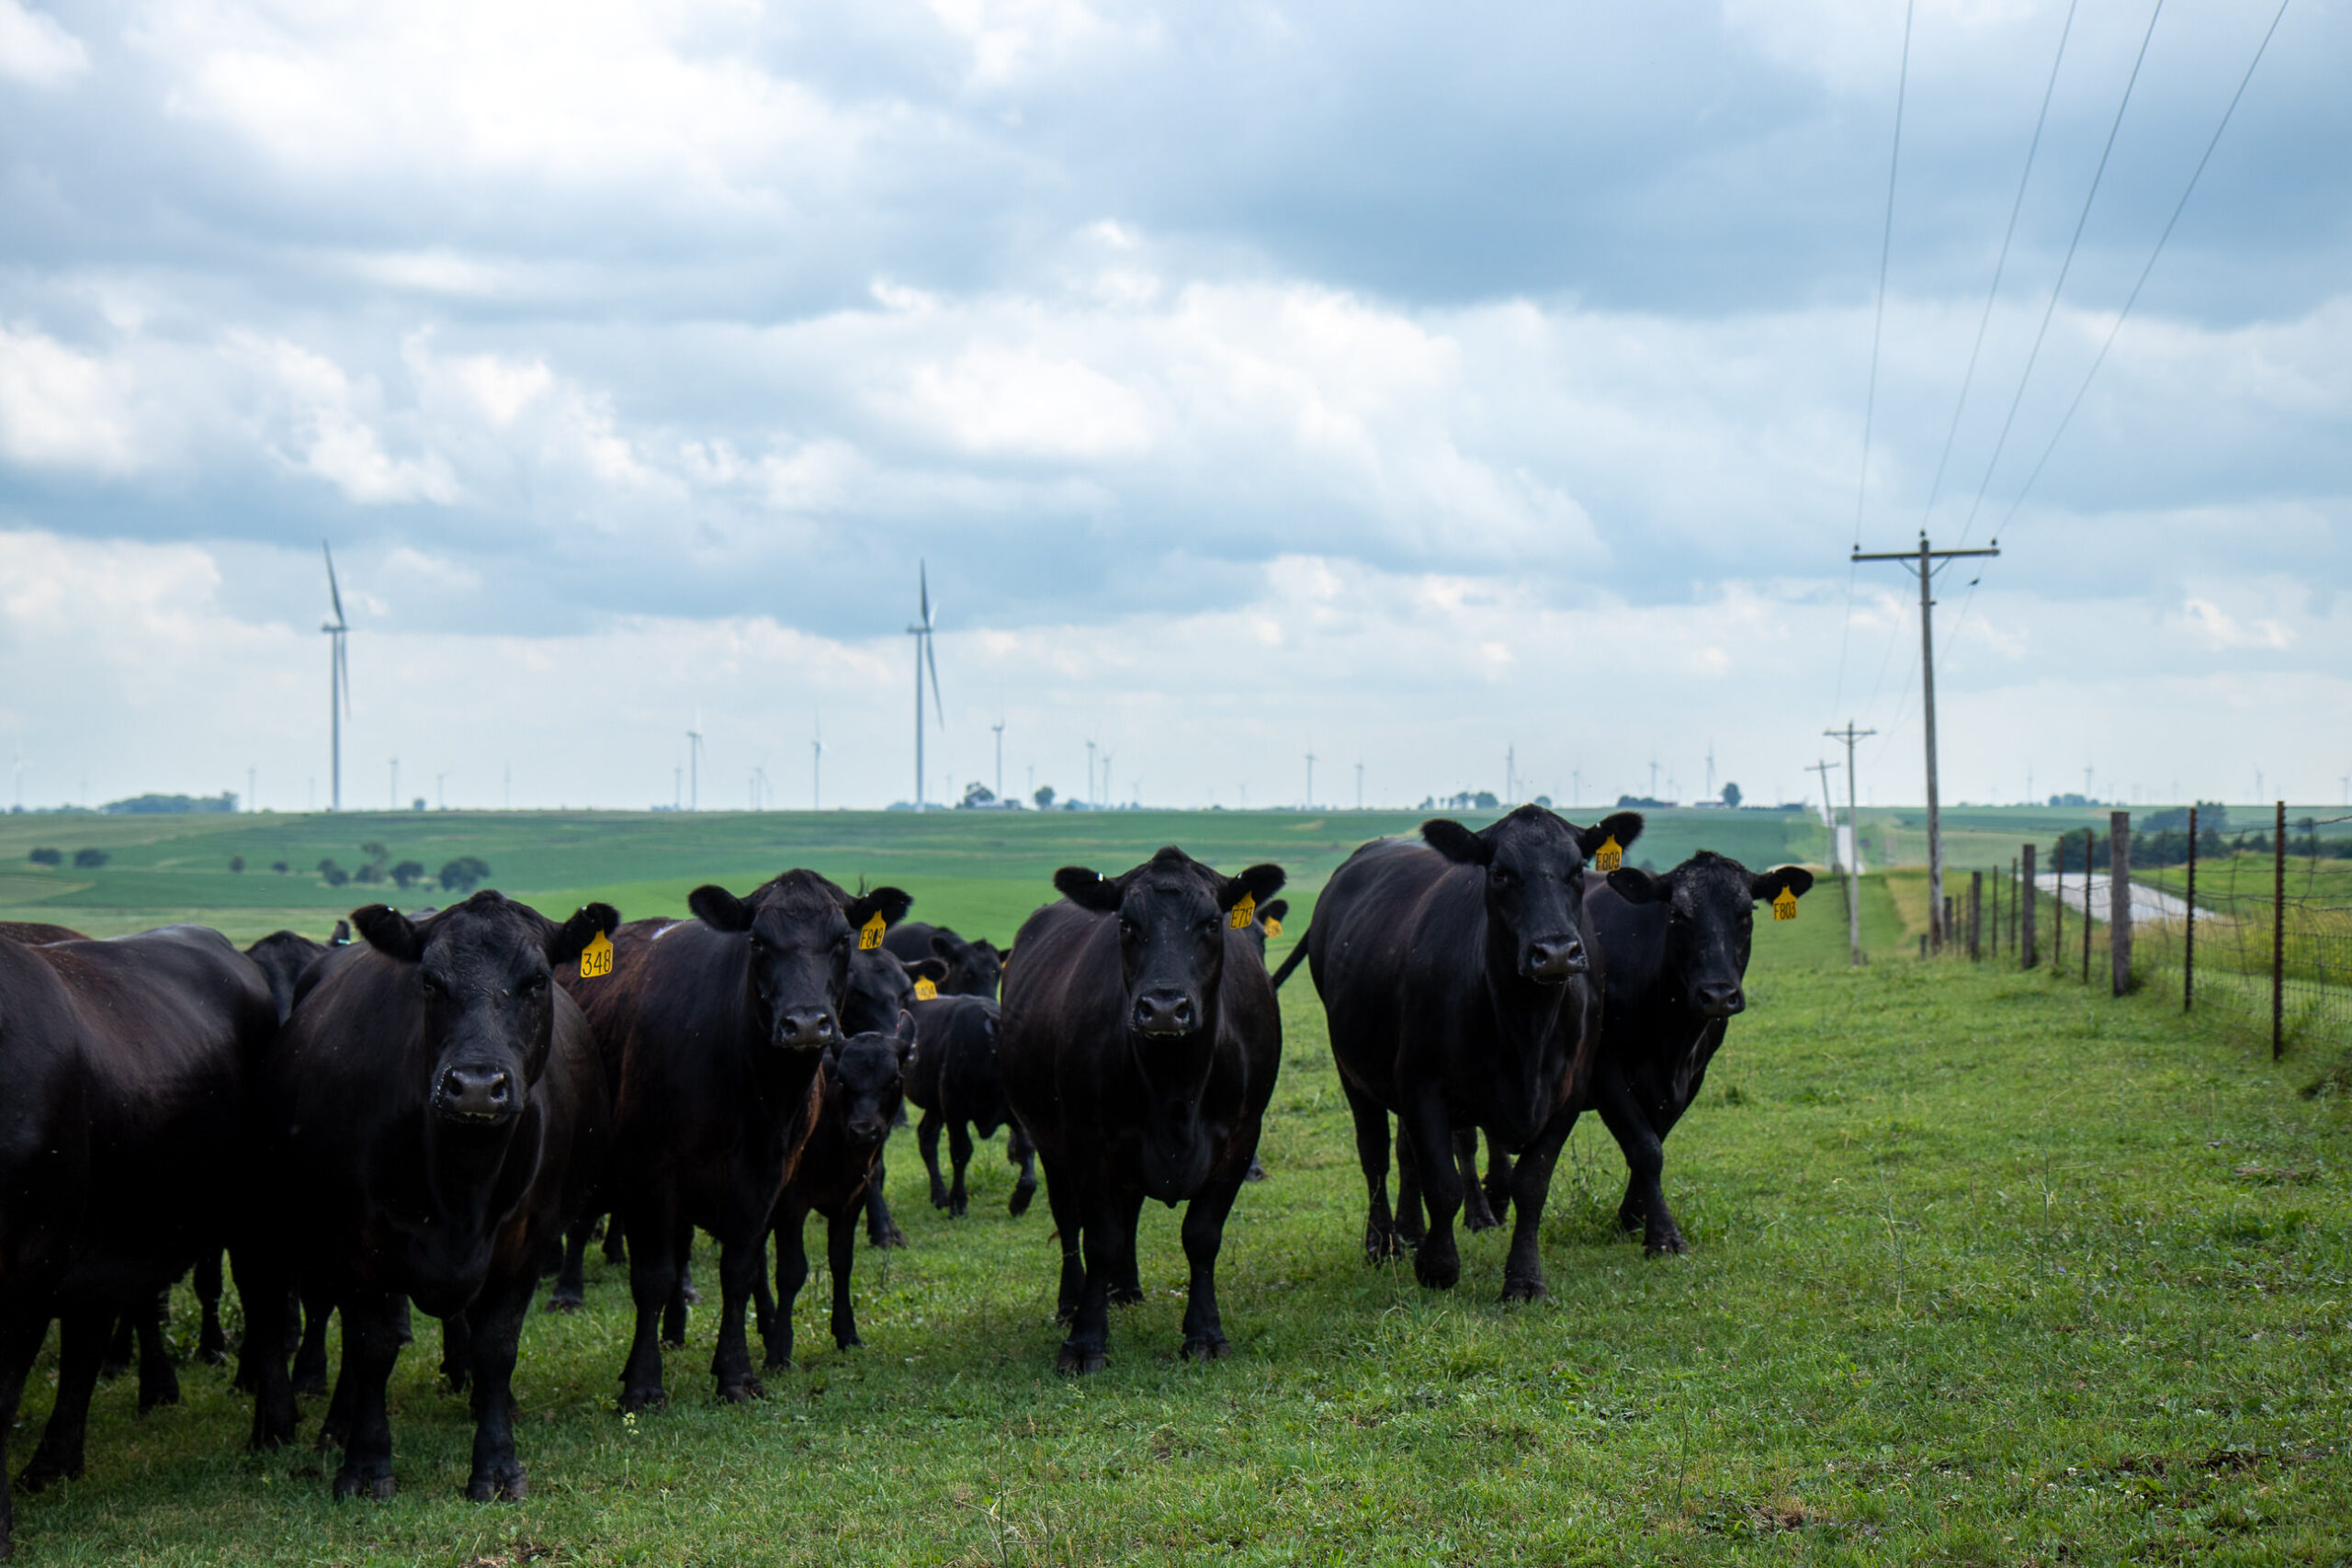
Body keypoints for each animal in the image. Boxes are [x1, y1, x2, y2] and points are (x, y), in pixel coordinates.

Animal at [239, 892, 615, 1504]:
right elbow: (371, 1347)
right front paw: (366, 1464)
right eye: (430, 982)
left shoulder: (528, 1242)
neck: (462, 1179)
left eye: (537, 980)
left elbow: (496, 1347)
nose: (477, 1087)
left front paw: (497, 1465)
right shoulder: (356, 1242)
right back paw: (334, 1424)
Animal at [757, 1014, 914, 1368]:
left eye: (894, 1078)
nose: (865, 1130)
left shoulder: (852, 1201)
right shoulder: (791, 1205)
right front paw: (779, 1351)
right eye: (843, 1080)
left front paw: (847, 1333)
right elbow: (791, 1271)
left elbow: (841, 1261)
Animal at [900, 994, 1037, 1218]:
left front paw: (1020, 1200)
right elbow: (961, 1152)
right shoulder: (954, 1110)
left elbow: (1025, 1147)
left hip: (935, 1107)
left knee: (927, 1135)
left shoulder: (1016, 1114)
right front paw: (958, 1202)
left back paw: (939, 1195)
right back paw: (942, 1195)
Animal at [999, 847, 1285, 1373]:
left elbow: (1201, 1235)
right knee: (1069, 1220)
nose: (1165, 1008)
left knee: (1128, 1210)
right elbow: (1100, 1237)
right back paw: (1072, 1300)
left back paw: (1126, 1289)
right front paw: (1085, 1340)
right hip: (1049, 1141)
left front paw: (1204, 1334)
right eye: (1127, 924)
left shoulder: (1241, 1137)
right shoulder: (1085, 1138)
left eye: (1211, 923)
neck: (1175, 1087)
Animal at [1299, 807, 1641, 1300]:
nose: (1556, 952)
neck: (1526, 1024)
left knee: (1405, 1153)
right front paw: (1438, 1267)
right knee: (1375, 1154)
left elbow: (1531, 1184)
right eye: (1500, 874)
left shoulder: (1569, 1094)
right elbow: (1443, 1183)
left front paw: (1524, 1280)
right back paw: (1382, 1242)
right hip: (1352, 1069)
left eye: (1578, 871)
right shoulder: (1423, 1085)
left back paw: (1410, 1231)